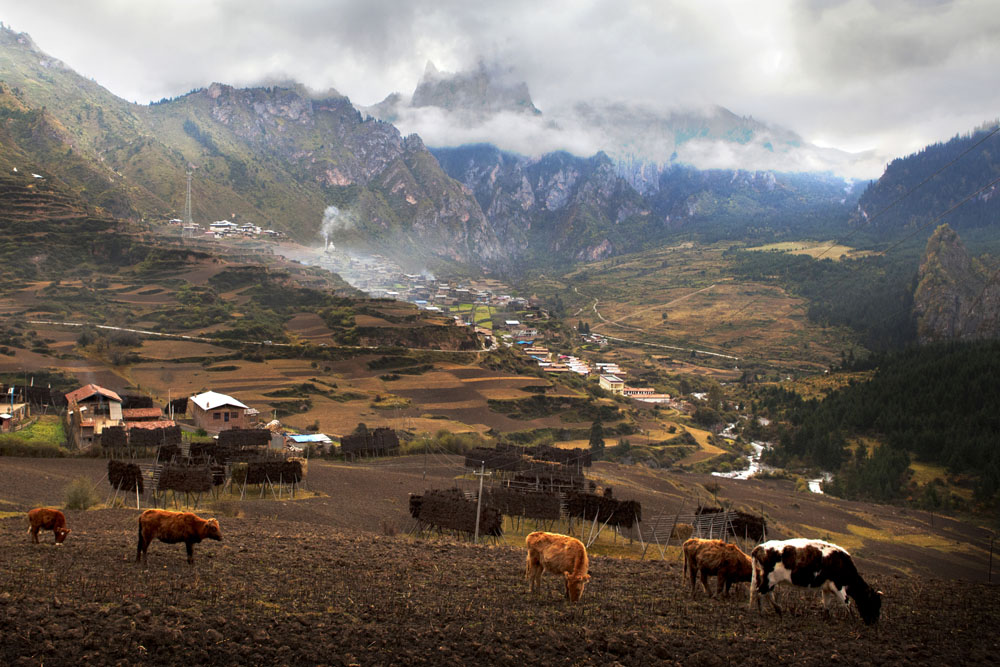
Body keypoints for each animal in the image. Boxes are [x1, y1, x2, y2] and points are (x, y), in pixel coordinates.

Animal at [752, 536, 884, 628]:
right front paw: (854, 621)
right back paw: (762, 613)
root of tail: (760, 547)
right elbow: (847, 603)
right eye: (874, 603)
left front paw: (827, 619)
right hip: (769, 579)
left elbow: (826, 604)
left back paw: (778, 611)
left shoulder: (827, 588)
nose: (874, 623)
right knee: (760, 593)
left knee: (767, 593)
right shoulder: (838, 586)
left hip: (770, 580)